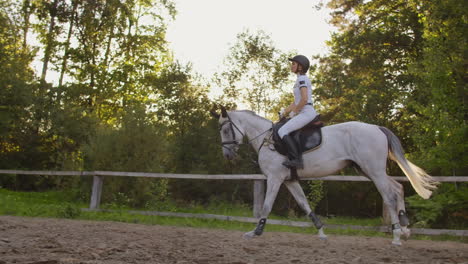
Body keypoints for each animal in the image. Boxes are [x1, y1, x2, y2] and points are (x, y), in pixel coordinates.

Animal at [212, 105, 438, 245]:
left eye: (225, 130)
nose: (227, 155)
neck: (267, 140)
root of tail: (377, 128)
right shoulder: (290, 180)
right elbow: (304, 204)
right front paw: (321, 232)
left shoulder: (275, 178)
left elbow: (266, 206)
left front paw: (255, 232)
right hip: (368, 170)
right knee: (398, 187)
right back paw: (406, 228)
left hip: (373, 170)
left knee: (389, 195)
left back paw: (397, 235)